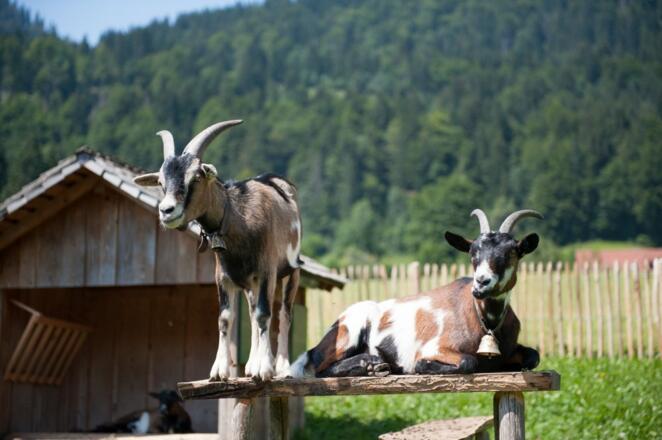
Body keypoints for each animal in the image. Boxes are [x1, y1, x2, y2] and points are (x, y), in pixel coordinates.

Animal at [133, 120, 302, 381]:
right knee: (252, 313)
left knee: (284, 313)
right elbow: (225, 318)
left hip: (291, 271)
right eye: (161, 183)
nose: (166, 211)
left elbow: (265, 313)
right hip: (250, 284)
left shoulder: (267, 270)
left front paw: (265, 369)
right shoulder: (223, 276)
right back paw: (251, 364)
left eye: (196, 178)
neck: (239, 217)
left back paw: (282, 368)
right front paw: (220, 371)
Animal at [290, 209, 542, 377]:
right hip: (350, 328)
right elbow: (468, 362)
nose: (481, 283)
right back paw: (370, 363)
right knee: (321, 369)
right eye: (473, 252)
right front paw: (421, 367)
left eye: (511, 252)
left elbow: (533, 356)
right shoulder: (435, 347)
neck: (485, 321)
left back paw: (375, 365)